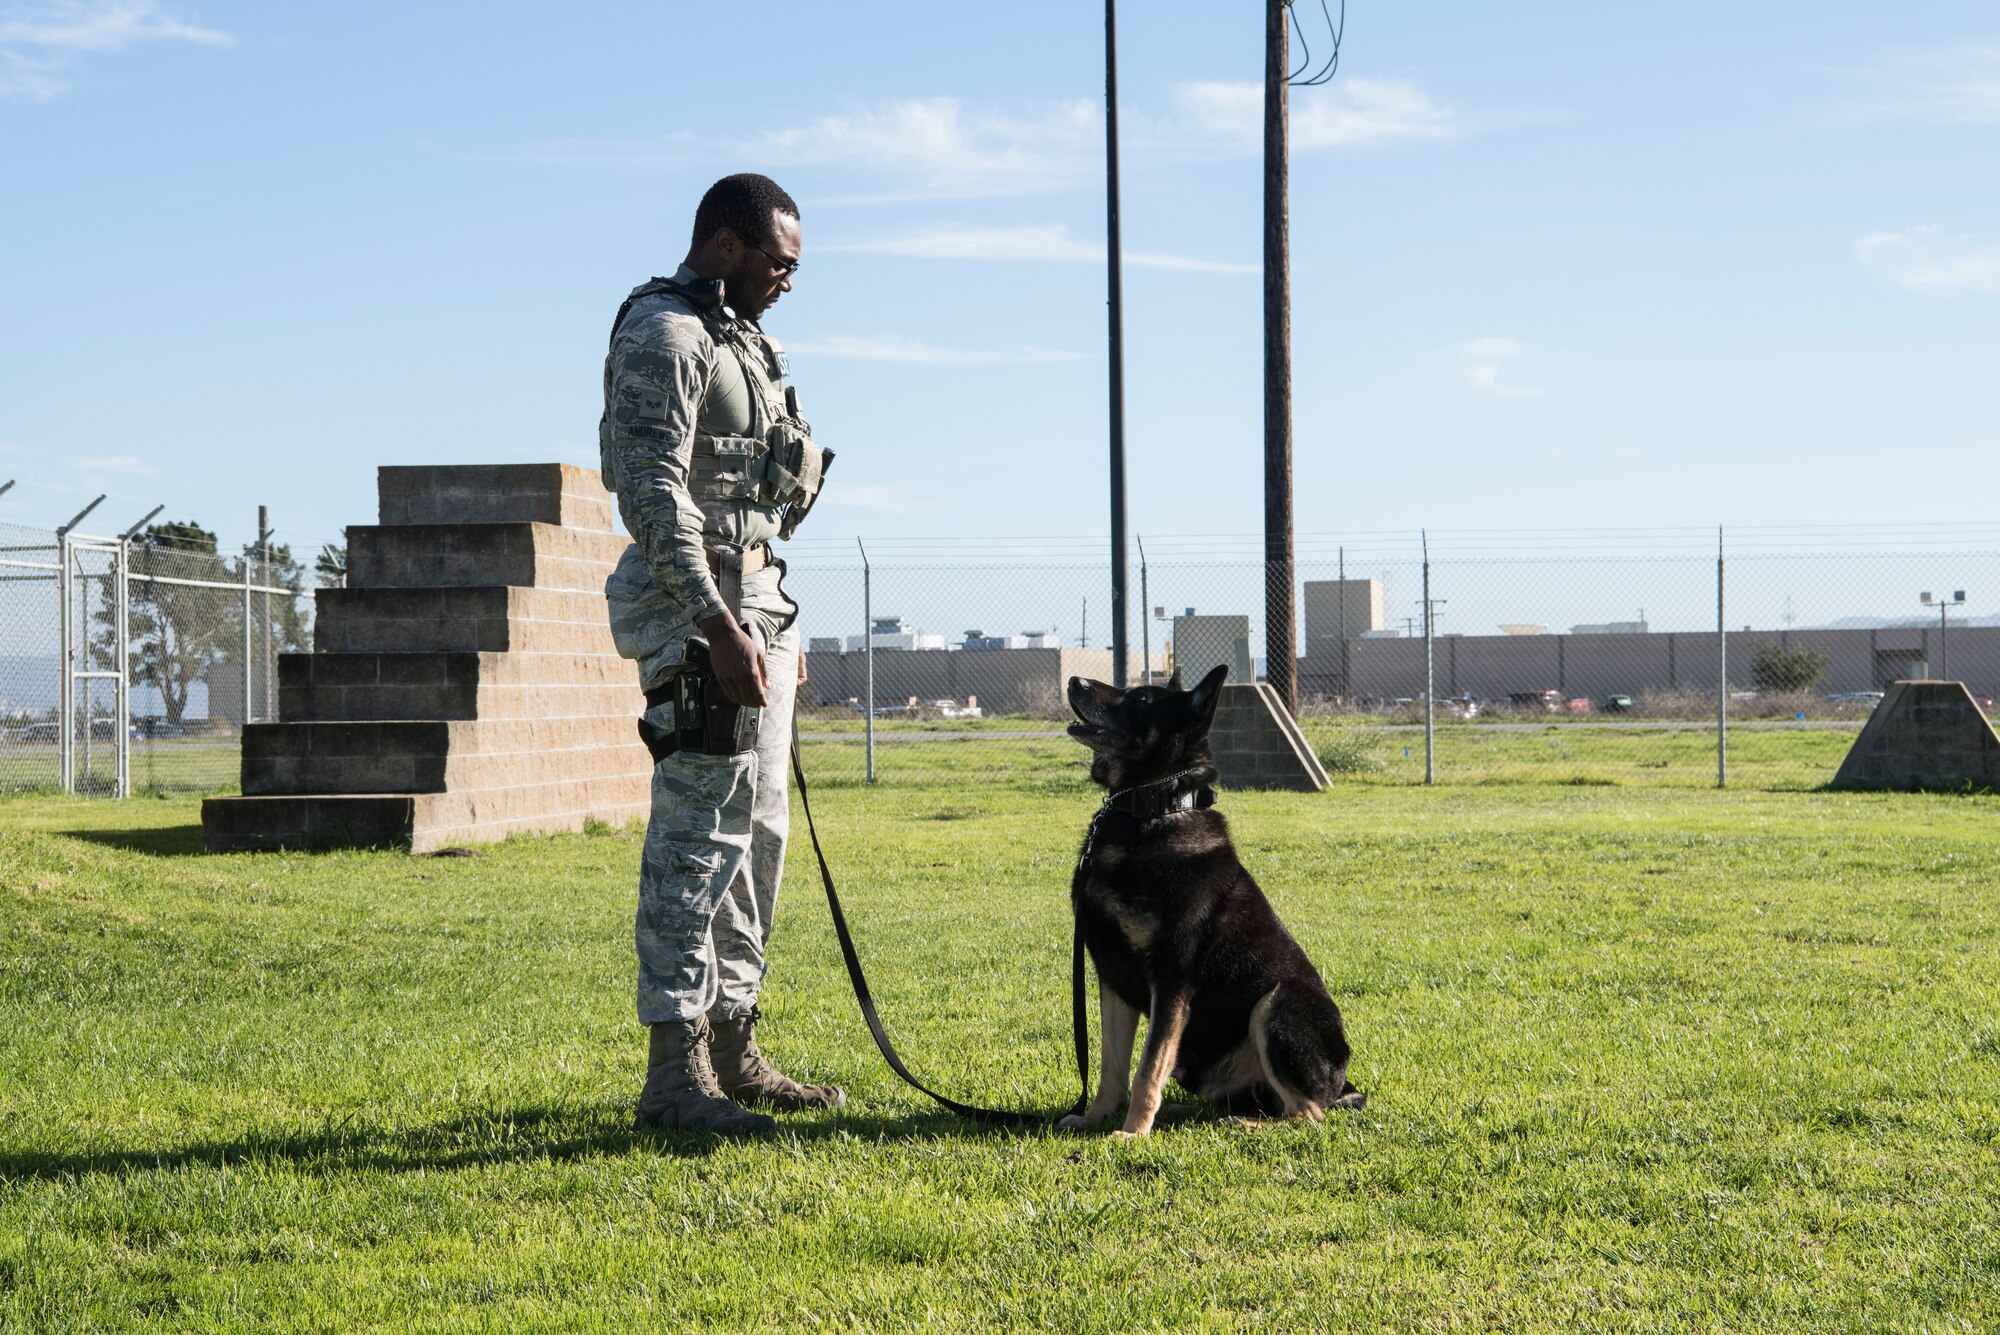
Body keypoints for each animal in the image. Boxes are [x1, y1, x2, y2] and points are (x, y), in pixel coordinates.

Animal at [1056, 667, 1368, 1135]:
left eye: (1140, 699)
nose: (1075, 680)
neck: (1153, 810)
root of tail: (1342, 1085)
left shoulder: (1171, 980)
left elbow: (1148, 1065)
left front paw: (1131, 1133)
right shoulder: (1113, 977)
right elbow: (1112, 1068)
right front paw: (1096, 1118)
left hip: (1277, 1002)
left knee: (1305, 1112)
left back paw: (1242, 1123)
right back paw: (1185, 1111)